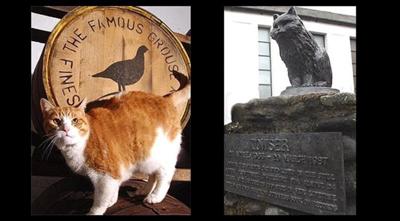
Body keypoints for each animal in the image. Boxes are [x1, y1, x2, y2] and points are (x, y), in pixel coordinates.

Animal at [39, 84, 190, 214]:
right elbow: (115, 187)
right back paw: (144, 191)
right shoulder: (116, 172)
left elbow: (99, 201)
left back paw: (155, 196)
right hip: (147, 159)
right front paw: (112, 200)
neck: (78, 145)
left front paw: (96, 211)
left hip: (160, 155)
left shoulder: (104, 177)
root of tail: (164, 99)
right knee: (153, 175)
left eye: (74, 120)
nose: (65, 129)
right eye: (56, 121)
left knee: (166, 174)